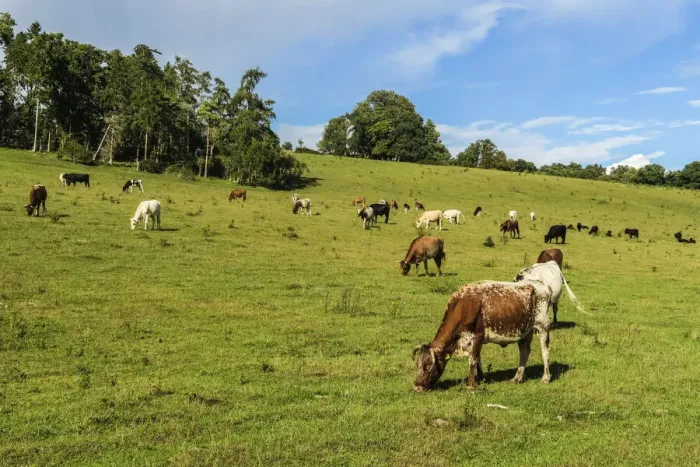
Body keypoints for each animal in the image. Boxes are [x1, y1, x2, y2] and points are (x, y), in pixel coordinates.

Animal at [412, 280, 552, 391]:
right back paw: (517, 378)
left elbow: (473, 360)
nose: (417, 386)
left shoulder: (477, 336)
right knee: (524, 352)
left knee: (545, 351)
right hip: (525, 332)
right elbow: (478, 358)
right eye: (418, 364)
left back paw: (545, 378)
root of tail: (541, 285)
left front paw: (470, 385)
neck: (464, 307)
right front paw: (481, 378)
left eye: (428, 366)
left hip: (543, 326)